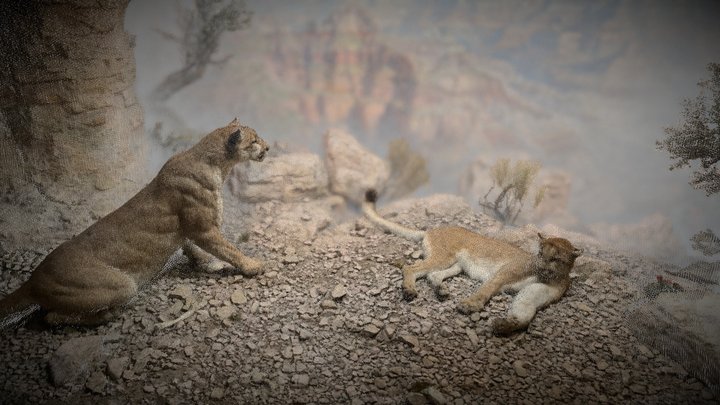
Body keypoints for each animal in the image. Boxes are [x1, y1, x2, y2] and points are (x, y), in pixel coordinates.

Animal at [0, 118, 269, 327]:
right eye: (253, 141)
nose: (267, 147)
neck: (217, 165)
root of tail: (34, 279)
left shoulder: (191, 231)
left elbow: (193, 247)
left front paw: (208, 263)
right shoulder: (204, 228)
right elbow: (228, 248)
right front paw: (251, 265)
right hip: (122, 285)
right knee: (51, 317)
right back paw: (105, 316)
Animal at [362, 189, 582, 335]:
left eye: (555, 258)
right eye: (541, 253)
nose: (542, 265)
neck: (549, 277)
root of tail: (432, 229)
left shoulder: (535, 294)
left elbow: (524, 313)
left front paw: (504, 326)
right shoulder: (503, 274)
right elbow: (486, 290)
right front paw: (469, 306)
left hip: (456, 265)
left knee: (433, 274)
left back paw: (441, 291)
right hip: (444, 257)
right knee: (412, 267)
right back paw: (409, 290)